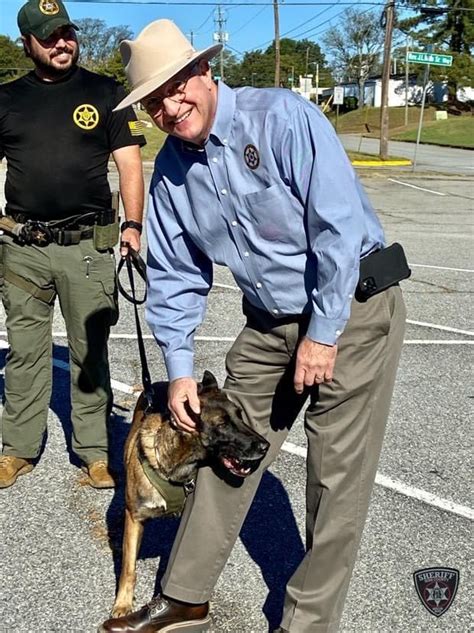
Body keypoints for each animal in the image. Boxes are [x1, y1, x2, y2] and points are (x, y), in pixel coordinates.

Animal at [109, 368, 268, 616]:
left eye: (240, 416)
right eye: (222, 424)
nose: (265, 446)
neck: (176, 467)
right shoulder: (135, 519)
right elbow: (128, 568)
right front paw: (123, 603)